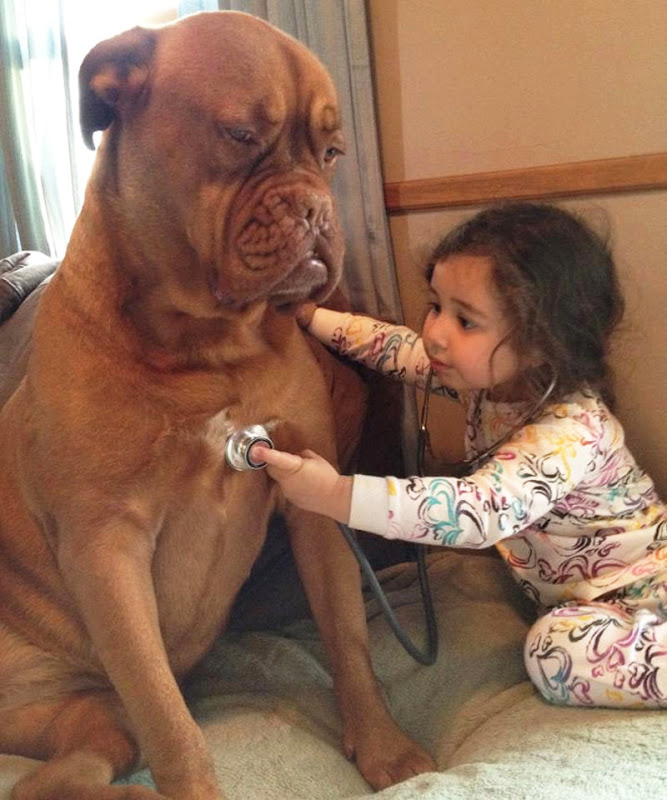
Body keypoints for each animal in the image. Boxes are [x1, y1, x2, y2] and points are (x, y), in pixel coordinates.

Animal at [0, 11, 435, 799]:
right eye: (239, 135)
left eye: (331, 152)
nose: (318, 206)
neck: (207, 345)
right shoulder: (106, 549)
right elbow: (172, 726)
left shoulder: (311, 500)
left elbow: (349, 642)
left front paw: (384, 748)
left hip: (83, 716)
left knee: (80, 758)